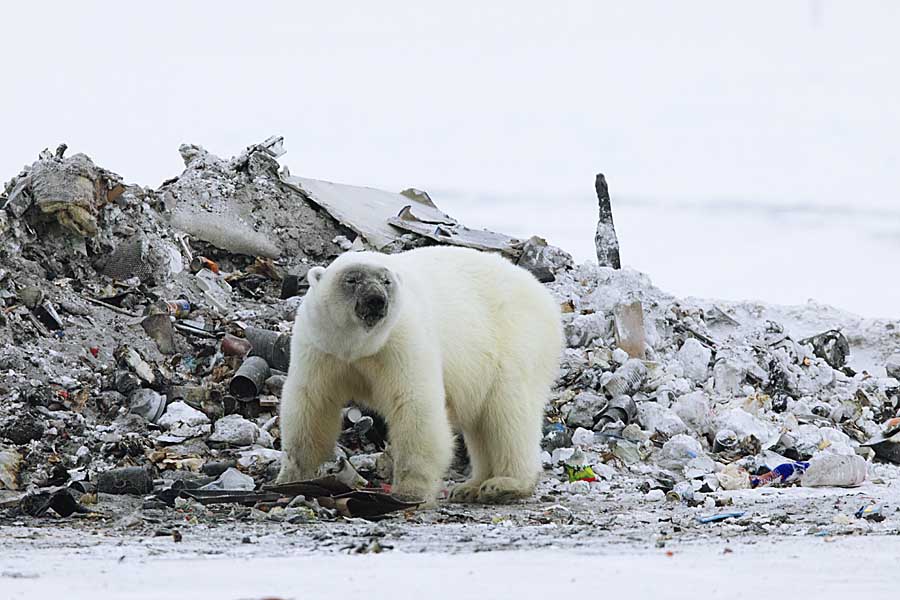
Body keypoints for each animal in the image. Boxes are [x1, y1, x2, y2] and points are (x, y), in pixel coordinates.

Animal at [278, 246, 564, 504]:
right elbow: (311, 403)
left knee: (508, 412)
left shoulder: (402, 339)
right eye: (352, 279)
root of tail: (545, 297)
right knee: (481, 422)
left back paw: (505, 485)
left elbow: (414, 404)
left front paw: (409, 492)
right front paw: (290, 478)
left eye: (386, 281)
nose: (376, 299)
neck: (359, 346)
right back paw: (470, 487)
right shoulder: (321, 346)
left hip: (517, 341)